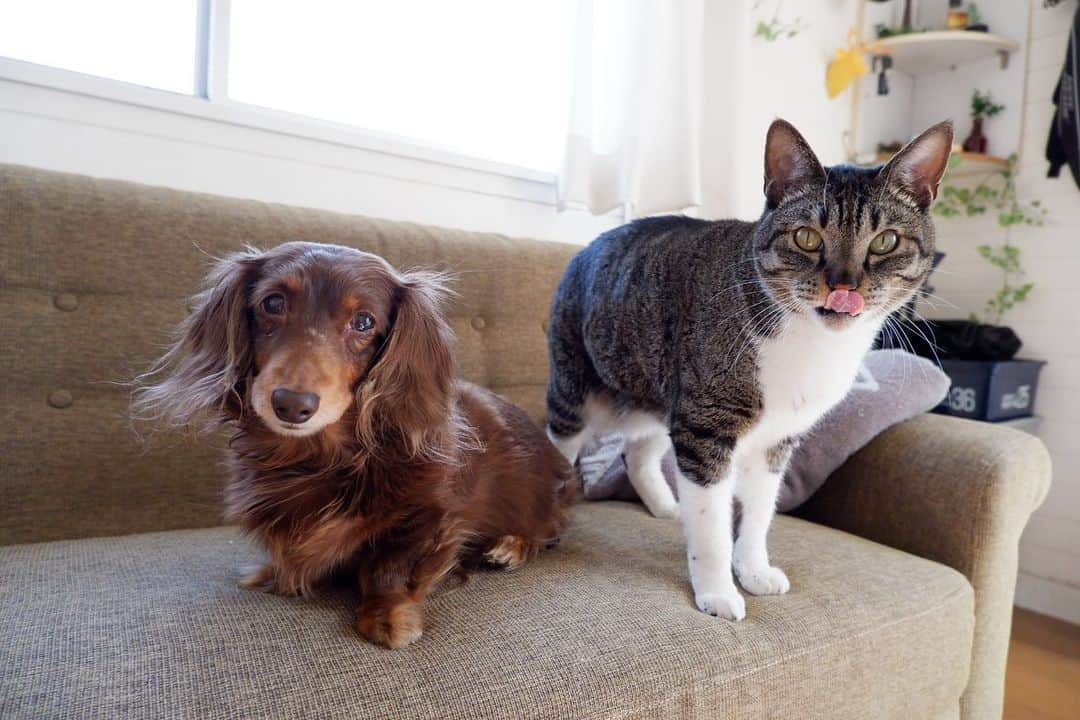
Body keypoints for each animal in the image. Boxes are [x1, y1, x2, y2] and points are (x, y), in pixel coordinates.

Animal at [133, 241, 574, 647]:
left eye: (363, 322)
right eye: (273, 302)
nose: (291, 404)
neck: (318, 460)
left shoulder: (431, 514)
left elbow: (388, 567)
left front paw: (387, 616)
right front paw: (273, 574)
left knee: (549, 533)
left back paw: (509, 547)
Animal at [548, 118, 954, 621]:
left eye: (885, 241)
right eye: (807, 237)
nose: (844, 285)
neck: (810, 345)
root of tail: (588, 246)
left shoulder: (776, 440)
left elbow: (759, 513)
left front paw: (755, 571)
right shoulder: (706, 425)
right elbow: (712, 526)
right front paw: (717, 593)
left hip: (659, 394)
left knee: (638, 452)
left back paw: (666, 505)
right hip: (576, 386)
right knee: (560, 442)